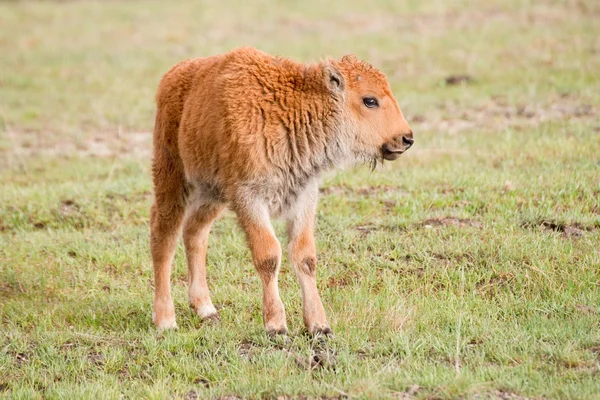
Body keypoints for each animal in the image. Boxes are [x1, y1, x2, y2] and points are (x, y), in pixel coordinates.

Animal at [150, 46, 412, 334]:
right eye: (370, 100)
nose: (406, 138)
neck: (295, 109)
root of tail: (173, 75)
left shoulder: (304, 195)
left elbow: (305, 257)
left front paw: (319, 327)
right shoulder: (249, 197)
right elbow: (269, 256)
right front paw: (276, 326)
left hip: (213, 193)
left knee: (194, 232)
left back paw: (206, 309)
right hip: (172, 177)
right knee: (164, 236)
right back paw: (165, 320)